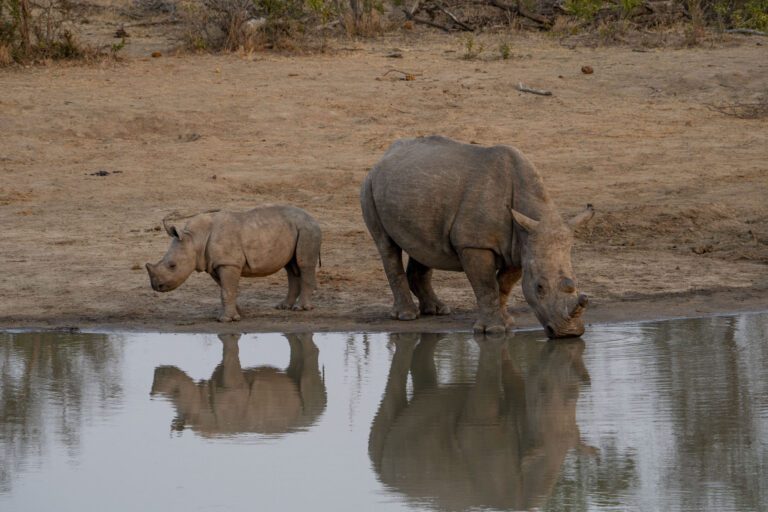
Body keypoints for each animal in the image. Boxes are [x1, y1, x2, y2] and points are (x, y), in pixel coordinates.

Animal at [146, 205, 321, 322]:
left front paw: (225, 319)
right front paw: (238, 314)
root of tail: (313, 218)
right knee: (291, 267)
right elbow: (226, 289)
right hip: (295, 229)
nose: (156, 287)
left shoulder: (229, 263)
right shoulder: (216, 264)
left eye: (172, 266)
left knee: (303, 264)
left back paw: (300, 309)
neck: (195, 239)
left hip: (307, 229)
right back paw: (283, 307)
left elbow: (226, 290)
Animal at [360, 135, 594, 337]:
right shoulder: (475, 244)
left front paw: (507, 323)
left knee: (424, 248)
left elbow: (503, 285)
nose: (569, 334)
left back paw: (437, 310)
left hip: (414, 190)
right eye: (540, 288)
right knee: (386, 245)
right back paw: (407, 316)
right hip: (369, 185)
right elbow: (486, 285)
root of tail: (384, 157)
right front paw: (493, 330)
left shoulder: (520, 246)